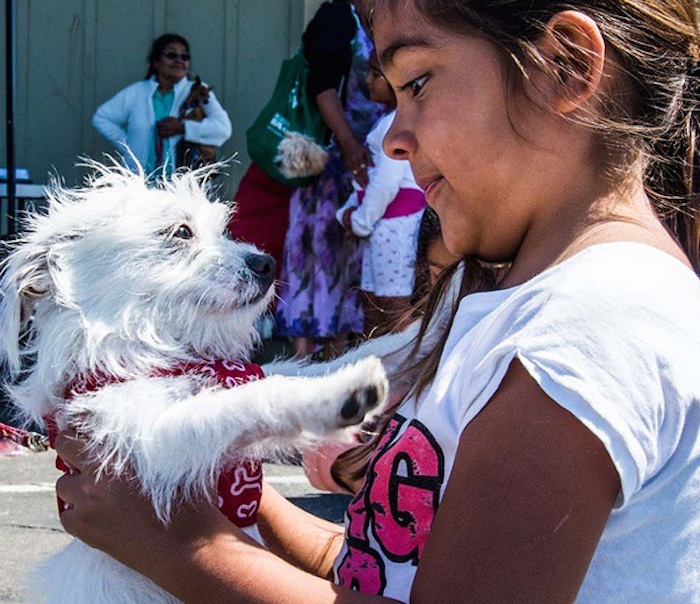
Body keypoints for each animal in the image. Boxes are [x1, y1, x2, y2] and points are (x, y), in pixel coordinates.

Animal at [0, 159, 400, 604]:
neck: (152, 352)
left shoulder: (239, 372)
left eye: (221, 229)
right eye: (180, 232)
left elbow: (302, 368)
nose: (266, 263)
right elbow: (249, 398)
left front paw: (414, 339)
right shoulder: (151, 438)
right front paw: (336, 395)